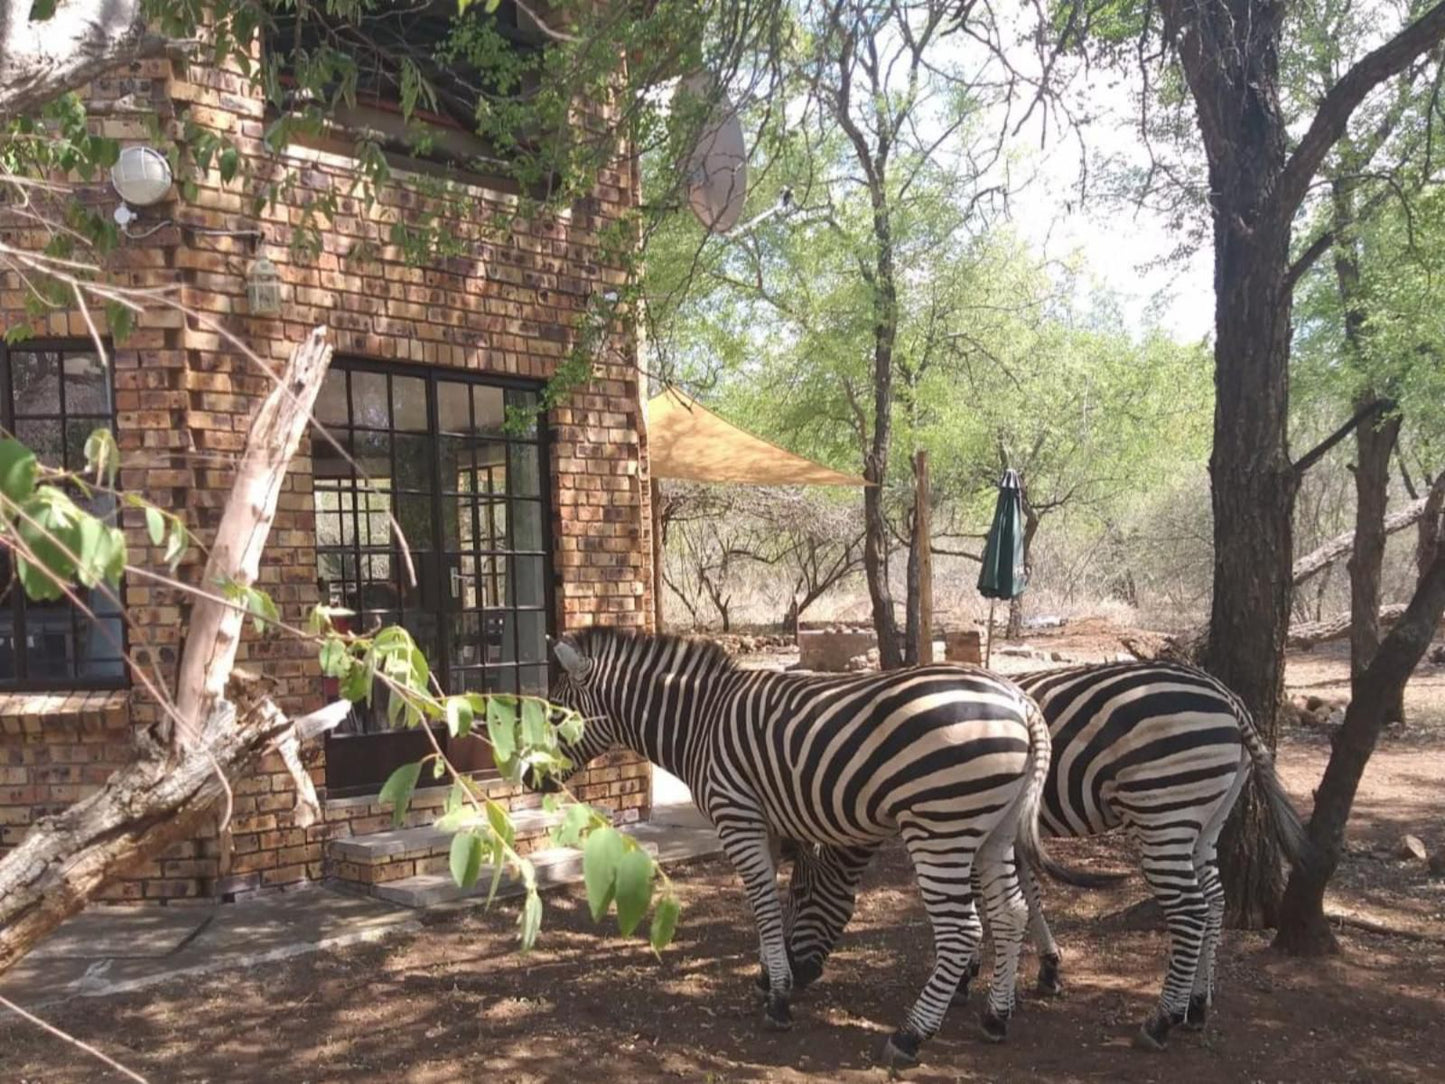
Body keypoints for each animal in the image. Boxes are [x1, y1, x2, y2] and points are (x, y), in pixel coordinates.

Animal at [546, 627, 1057, 1069]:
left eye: (553, 715)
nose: (534, 778)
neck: (699, 722)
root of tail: (1020, 701)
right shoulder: (765, 824)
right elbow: (763, 907)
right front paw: (769, 978)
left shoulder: (737, 816)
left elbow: (764, 906)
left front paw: (777, 999)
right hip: (995, 830)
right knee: (1011, 913)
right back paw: (996, 1018)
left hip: (941, 827)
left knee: (962, 930)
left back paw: (910, 1035)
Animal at [768, 659, 1312, 1057]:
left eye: (799, 893)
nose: (795, 974)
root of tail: (1228, 698)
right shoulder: (1008, 829)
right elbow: (1023, 894)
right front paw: (1044, 970)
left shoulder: (971, 821)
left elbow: (986, 901)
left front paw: (970, 976)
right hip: (1206, 819)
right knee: (1215, 901)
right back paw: (1198, 1005)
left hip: (1166, 812)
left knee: (1191, 911)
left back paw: (1161, 1020)